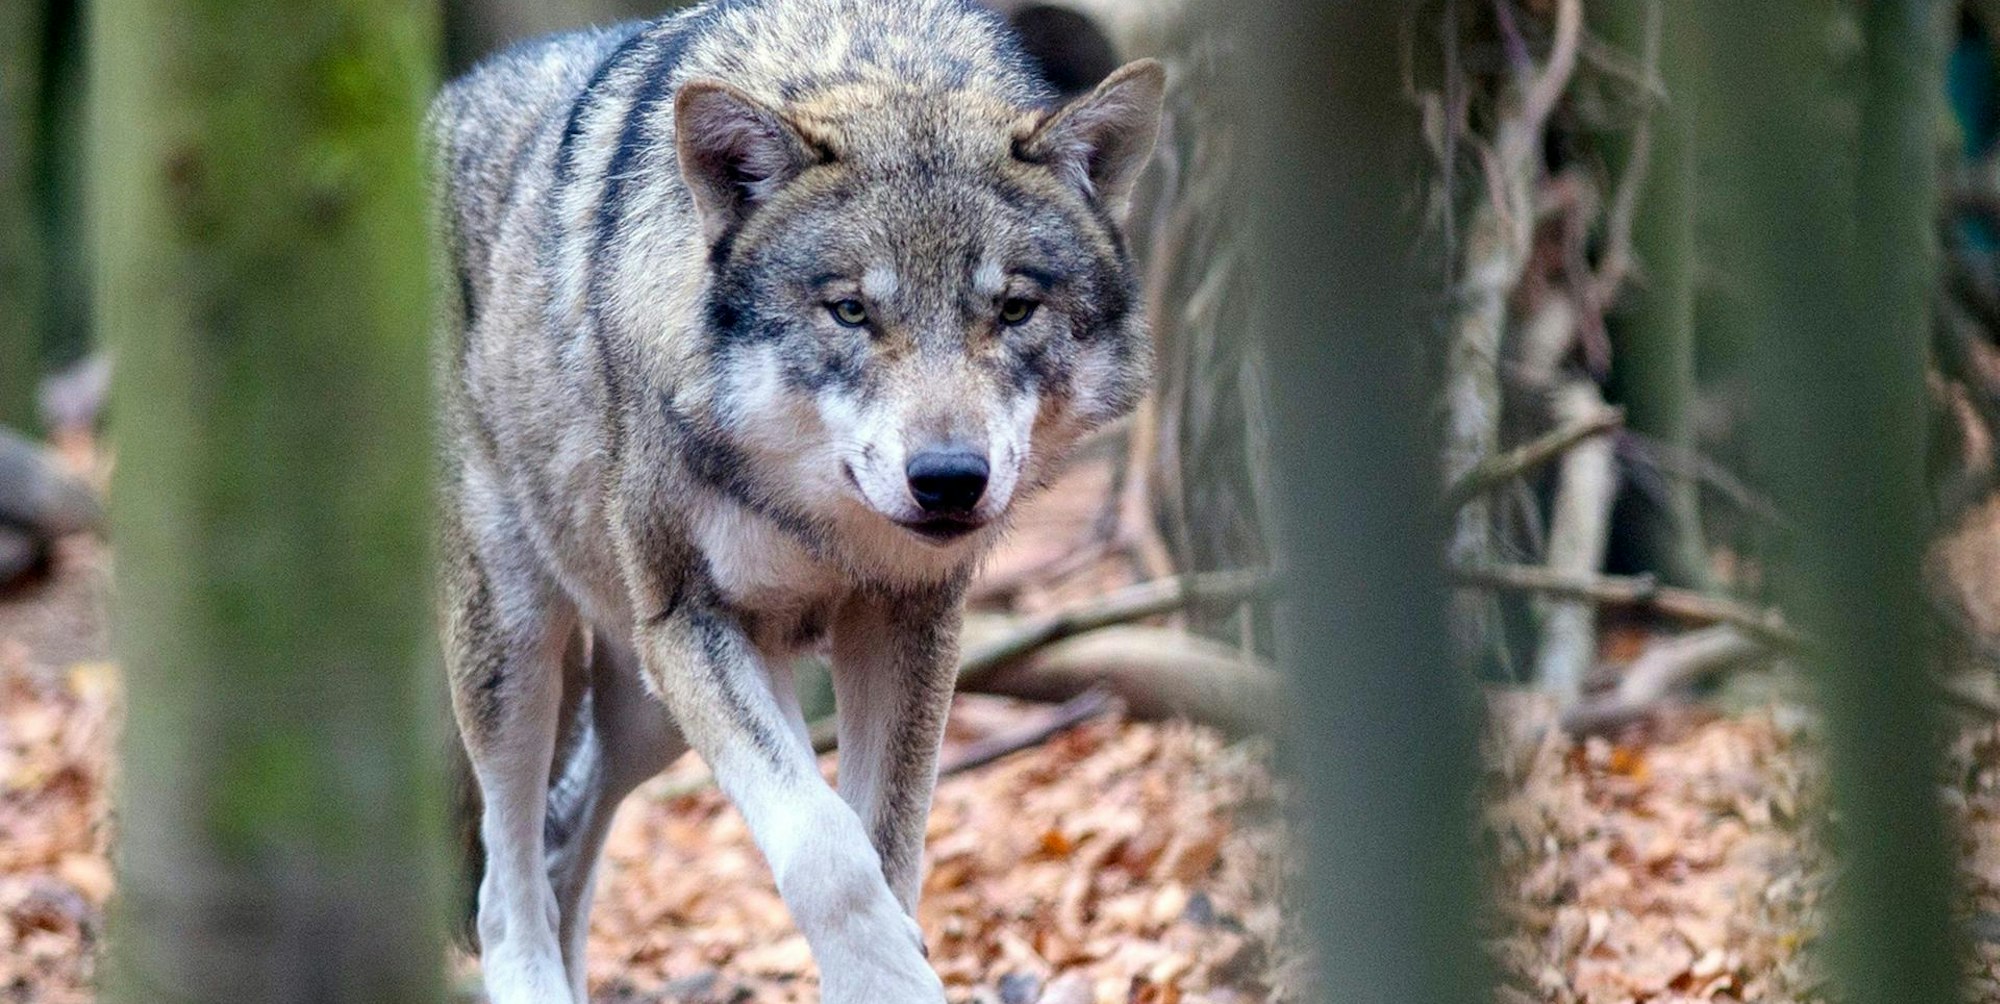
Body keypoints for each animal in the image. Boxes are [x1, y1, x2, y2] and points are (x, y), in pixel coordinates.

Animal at [427, 1, 1162, 999]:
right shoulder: (693, 621)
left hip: (644, 711)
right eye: (850, 310)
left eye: (1013, 310)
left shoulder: (907, 618)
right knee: (505, 891)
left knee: (563, 847)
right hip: (521, 646)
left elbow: (884, 847)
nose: (949, 478)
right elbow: (827, 848)